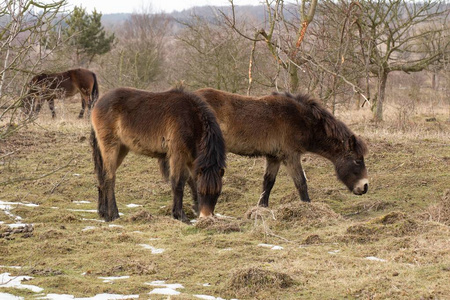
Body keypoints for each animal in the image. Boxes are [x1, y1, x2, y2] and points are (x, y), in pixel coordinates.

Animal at [90, 87, 225, 223]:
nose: (206, 217)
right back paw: (114, 214)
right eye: (201, 191)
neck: (191, 119)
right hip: (110, 147)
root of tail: (98, 102)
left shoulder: (192, 160)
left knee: (102, 178)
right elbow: (178, 182)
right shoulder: (178, 155)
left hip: (121, 149)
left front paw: (195, 210)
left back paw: (104, 214)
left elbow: (191, 181)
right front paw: (180, 215)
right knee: (109, 178)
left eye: (217, 193)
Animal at [185, 88, 368, 207]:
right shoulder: (291, 156)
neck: (301, 119)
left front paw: (261, 207)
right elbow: (301, 182)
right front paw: (308, 207)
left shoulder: (274, 157)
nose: (365, 187)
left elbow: (268, 182)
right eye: (357, 161)